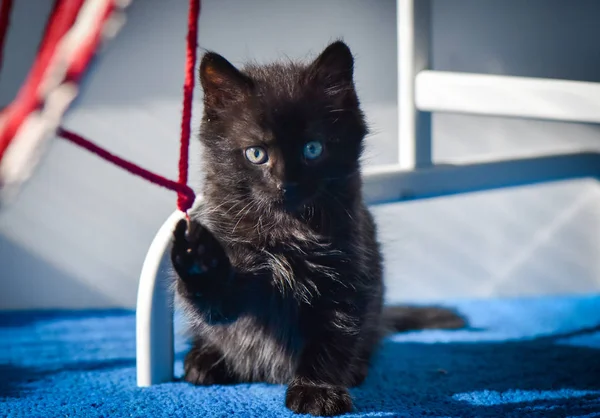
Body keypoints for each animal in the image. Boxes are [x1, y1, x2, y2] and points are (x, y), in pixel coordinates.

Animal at [171, 40, 466, 416]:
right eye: (256, 154)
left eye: (312, 149)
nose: (286, 183)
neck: (286, 231)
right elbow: (219, 303)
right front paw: (201, 260)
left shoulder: (347, 276)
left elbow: (331, 337)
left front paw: (316, 389)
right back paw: (205, 358)